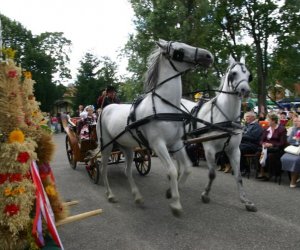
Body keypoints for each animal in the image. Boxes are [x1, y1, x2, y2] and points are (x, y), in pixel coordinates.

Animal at [96, 40, 213, 216]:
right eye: (179, 50)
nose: (208, 56)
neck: (164, 106)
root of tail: (105, 109)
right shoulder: (158, 144)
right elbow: (172, 170)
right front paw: (176, 204)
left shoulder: (176, 143)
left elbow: (187, 168)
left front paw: (171, 192)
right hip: (107, 145)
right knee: (103, 168)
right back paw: (110, 194)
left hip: (127, 147)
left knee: (127, 171)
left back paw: (137, 197)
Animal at [180, 55, 258, 212]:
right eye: (233, 73)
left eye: (249, 75)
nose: (245, 90)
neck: (224, 117)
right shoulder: (209, 149)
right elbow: (212, 174)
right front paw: (205, 195)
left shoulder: (234, 150)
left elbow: (238, 176)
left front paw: (245, 201)